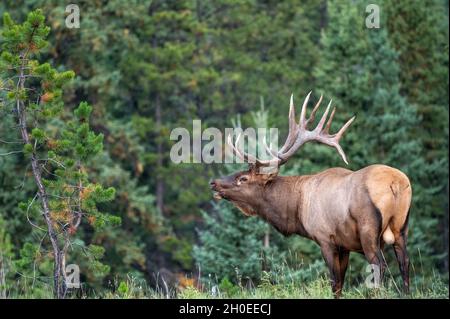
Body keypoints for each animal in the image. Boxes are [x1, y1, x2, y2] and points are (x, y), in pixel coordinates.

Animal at [211, 92, 412, 298]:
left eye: (243, 178)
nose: (214, 183)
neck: (297, 209)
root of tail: (395, 183)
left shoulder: (325, 239)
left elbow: (335, 282)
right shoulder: (344, 246)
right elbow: (340, 284)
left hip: (368, 230)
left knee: (379, 264)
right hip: (401, 227)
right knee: (405, 263)